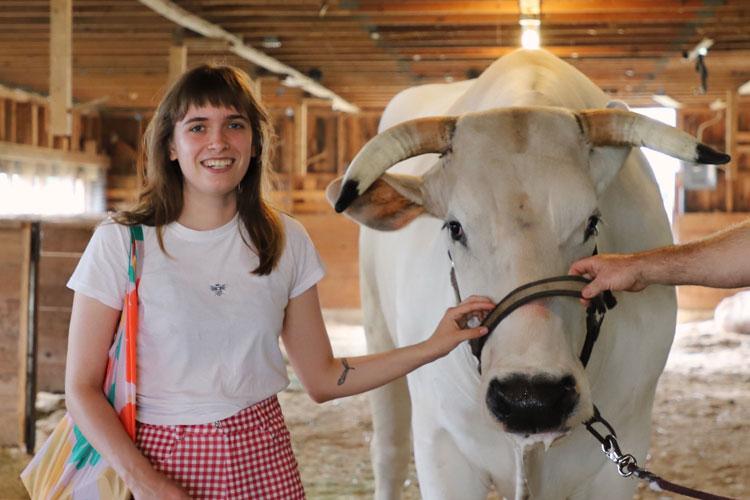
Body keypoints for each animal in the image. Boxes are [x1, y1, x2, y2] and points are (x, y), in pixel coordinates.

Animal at [328, 48, 728, 498]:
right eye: (455, 227)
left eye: (592, 223)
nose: (531, 396)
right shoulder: (441, 447)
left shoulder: (622, 453)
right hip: (377, 332)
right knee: (389, 451)